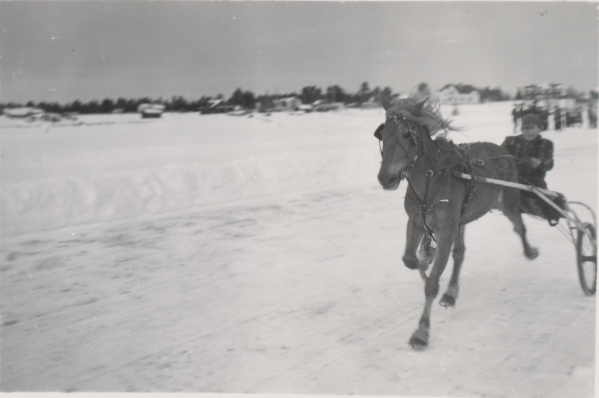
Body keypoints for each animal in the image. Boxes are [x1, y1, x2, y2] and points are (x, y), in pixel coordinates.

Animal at [376, 95, 540, 348]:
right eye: (382, 134)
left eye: (406, 134)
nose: (386, 178)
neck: (432, 177)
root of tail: (503, 151)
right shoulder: (415, 223)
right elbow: (409, 259)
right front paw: (426, 256)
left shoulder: (446, 230)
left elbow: (432, 283)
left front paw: (421, 331)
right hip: (462, 218)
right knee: (460, 252)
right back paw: (451, 291)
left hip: (508, 201)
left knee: (519, 227)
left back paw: (530, 251)